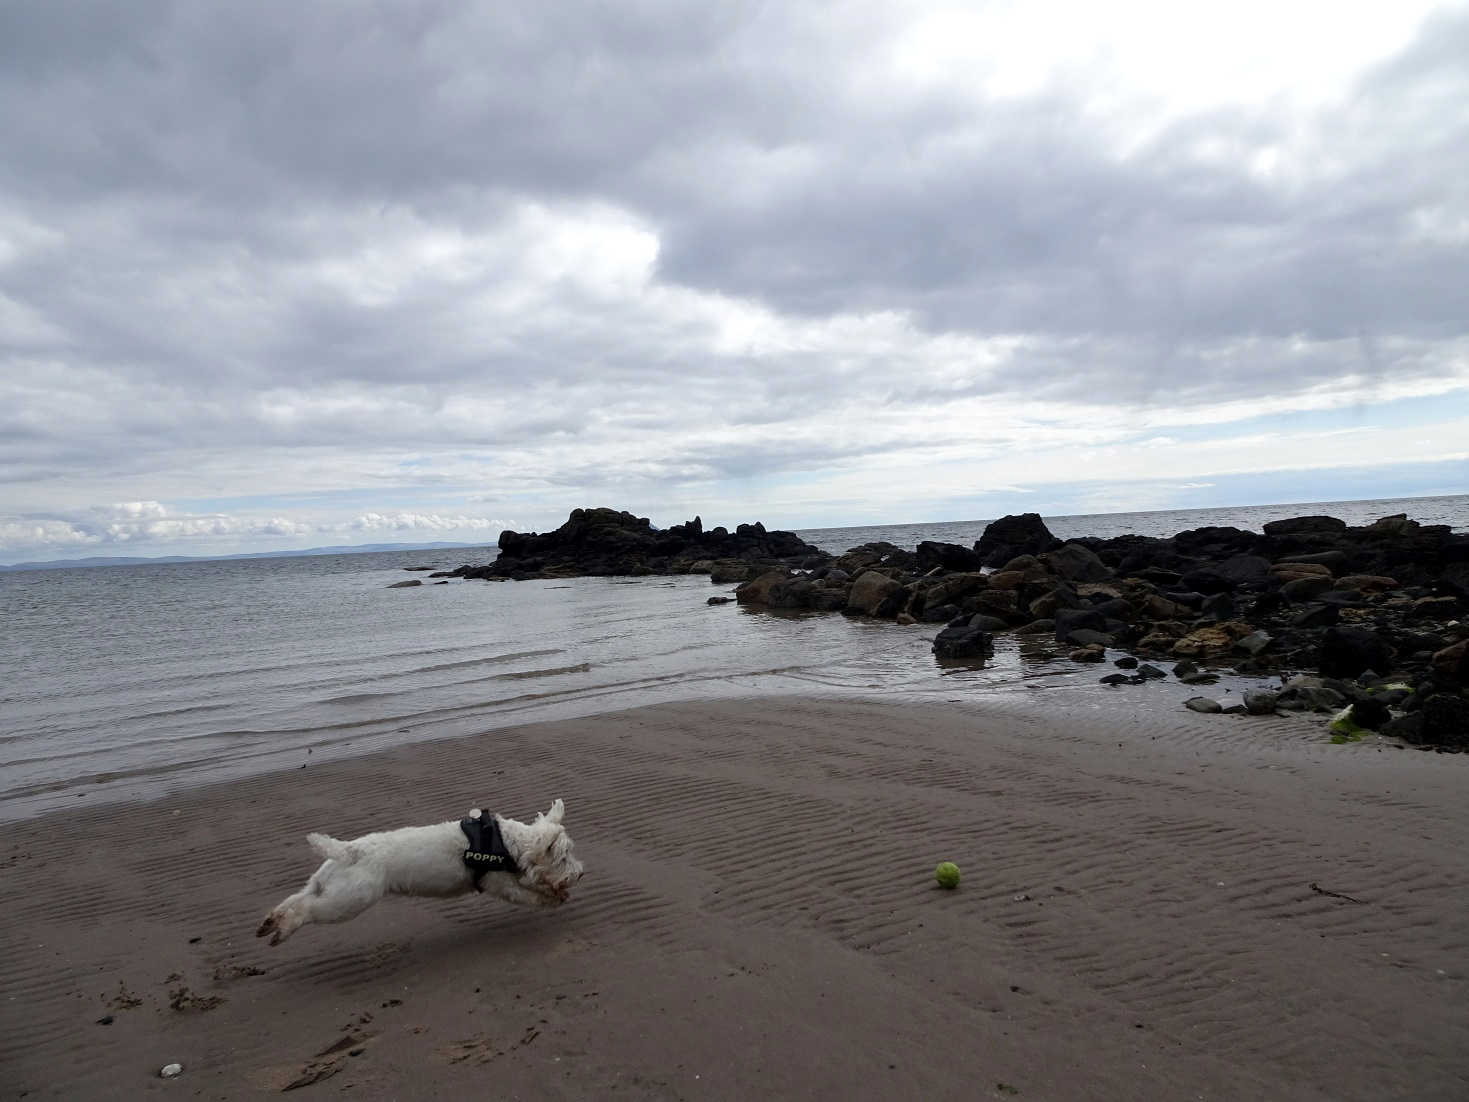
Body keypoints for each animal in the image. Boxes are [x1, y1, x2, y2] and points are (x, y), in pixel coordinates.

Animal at [258, 805, 584, 952]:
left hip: (326, 885)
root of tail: (350, 850)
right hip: (348, 900)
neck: (507, 842)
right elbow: (528, 893)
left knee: (296, 898)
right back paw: (279, 929)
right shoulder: (499, 883)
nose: (580, 874)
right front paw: (554, 897)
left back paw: (271, 923)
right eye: (563, 858)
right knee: (306, 909)